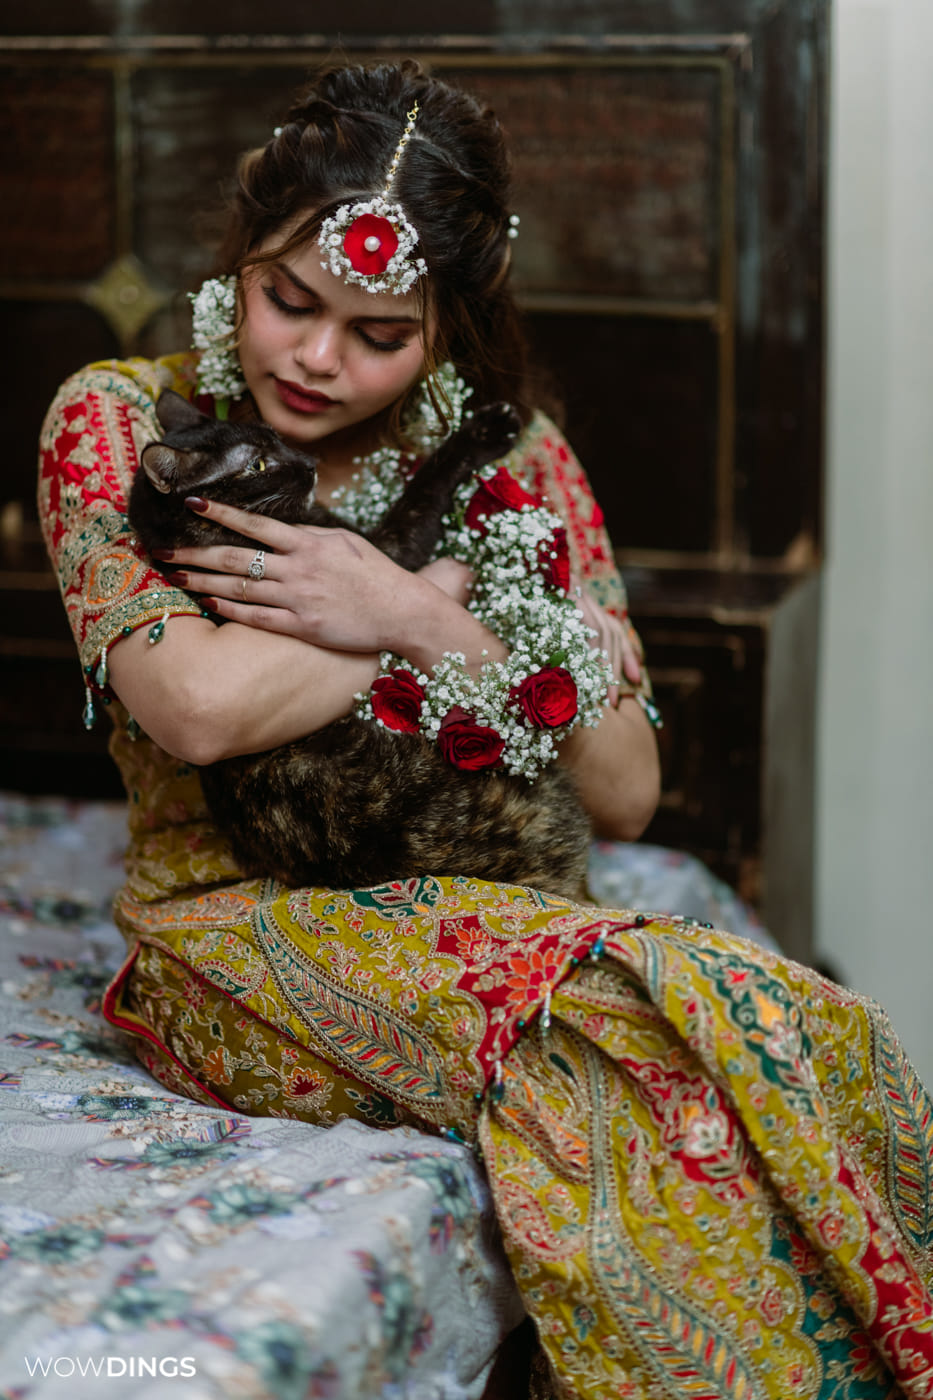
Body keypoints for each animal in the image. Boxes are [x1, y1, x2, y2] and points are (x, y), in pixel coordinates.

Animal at [129, 389, 591, 897]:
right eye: (256, 465)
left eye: (276, 438)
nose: (308, 463)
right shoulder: (387, 550)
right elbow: (424, 491)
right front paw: (484, 430)